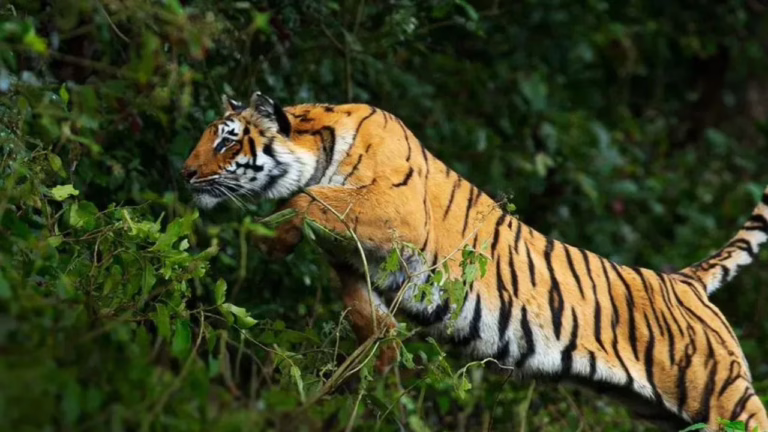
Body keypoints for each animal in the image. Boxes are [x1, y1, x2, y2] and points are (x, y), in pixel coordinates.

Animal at [182, 91, 768, 431]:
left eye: (227, 142)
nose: (183, 174)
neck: (320, 150)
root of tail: (686, 281)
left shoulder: (392, 213)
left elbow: (309, 200)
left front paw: (270, 238)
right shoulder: (354, 261)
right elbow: (363, 313)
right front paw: (382, 362)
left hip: (720, 395)